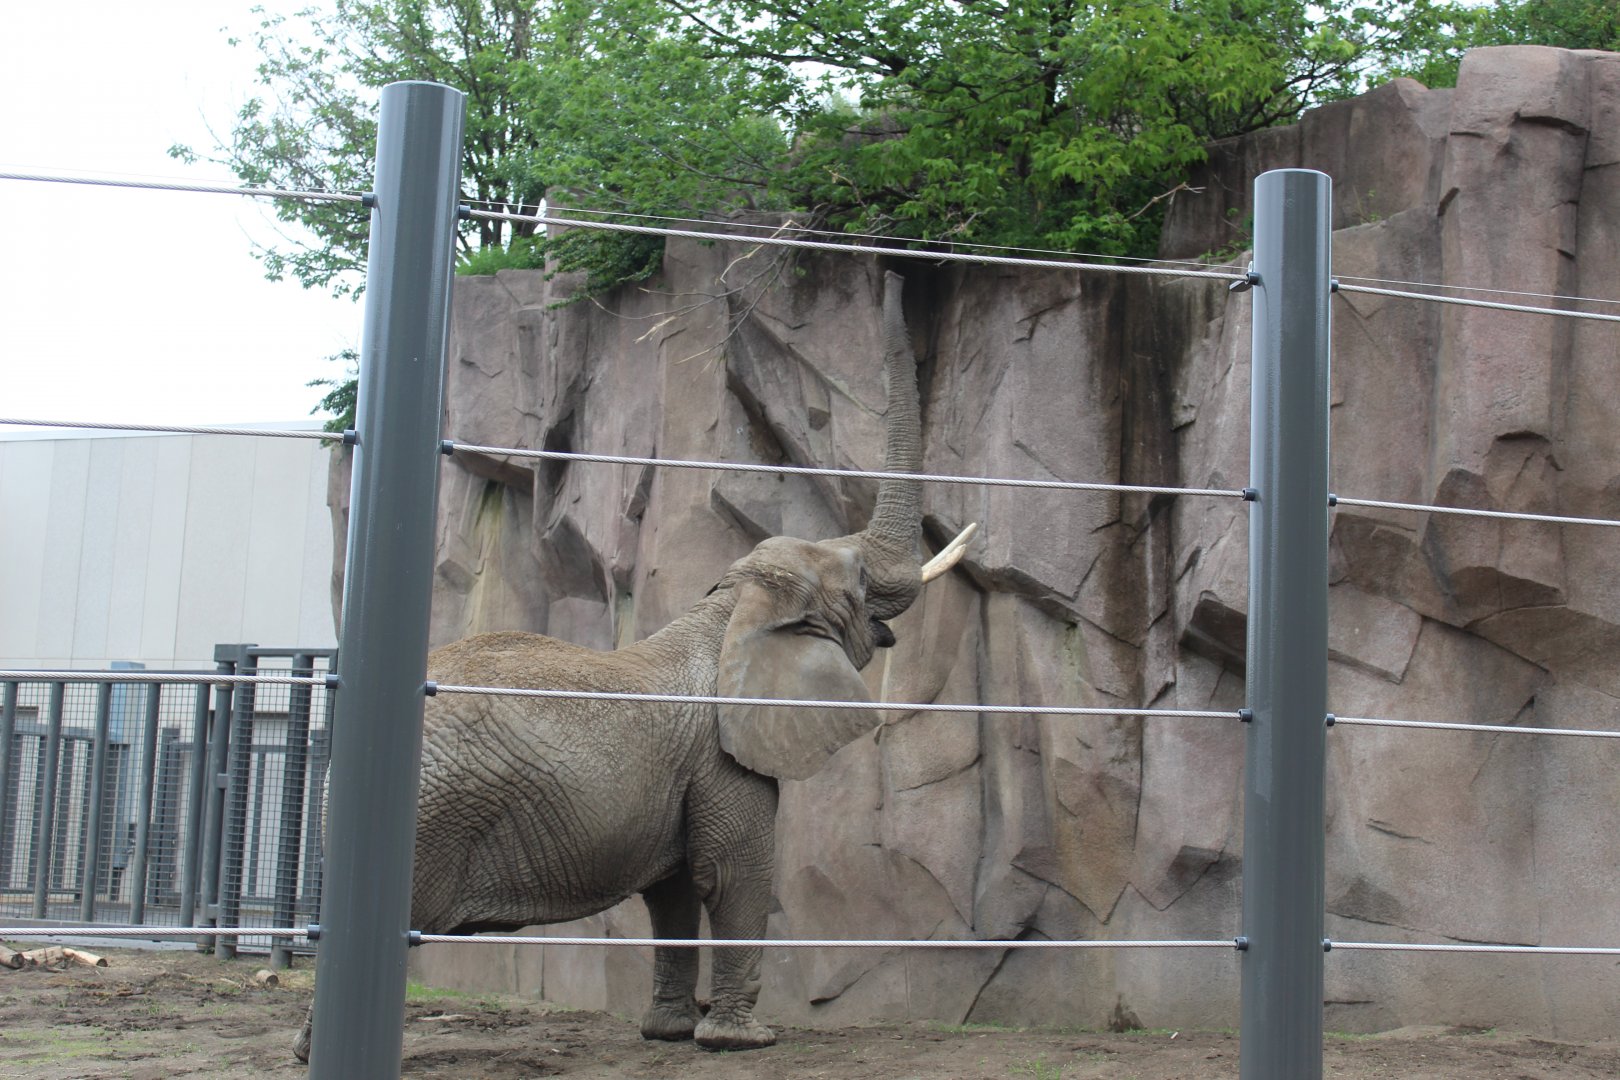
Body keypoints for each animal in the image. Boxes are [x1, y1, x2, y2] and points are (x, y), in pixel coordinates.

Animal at [295, 269, 972, 1061]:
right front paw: (744, 1041)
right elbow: (732, 875)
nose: (895, 275)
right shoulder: (722, 757)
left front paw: (671, 1033)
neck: (729, 610)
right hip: (433, 816)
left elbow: (672, 890)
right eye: (860, 579)